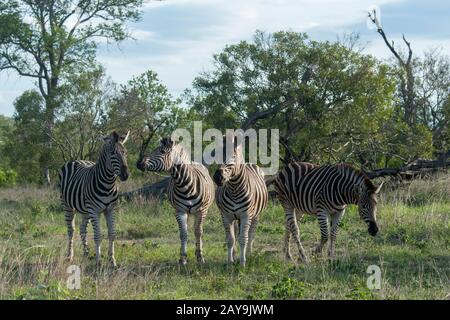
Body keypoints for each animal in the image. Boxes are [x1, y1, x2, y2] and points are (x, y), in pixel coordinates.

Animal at [58, 131, 130, 268]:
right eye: (112, 153)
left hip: (85, 210)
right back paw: (70, 256)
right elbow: (97, 236)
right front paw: (98, 261)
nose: (125, 175)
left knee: (82, 229)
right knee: (71, 230)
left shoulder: (110, 209)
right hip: (67, 206)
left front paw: (112, 260)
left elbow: (112, 234)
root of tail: (76, 160)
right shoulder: (94, 210)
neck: (108, 185)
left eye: (125, 152)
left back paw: (86, 253)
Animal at [136, 136, 215, 264]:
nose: (138, 163)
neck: (185, 185)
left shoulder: (201, 211)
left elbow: (198, 232)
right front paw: (183, 257)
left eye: (162, 151)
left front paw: (200, 257)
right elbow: (183, 233)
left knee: (198, 230)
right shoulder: (179, 211)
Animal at [214, 133, 268, 268]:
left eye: (233, 156)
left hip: (256, 215)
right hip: (235, 217)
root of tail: (249, 163)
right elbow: (230, 239)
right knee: (235, 234)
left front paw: (243, 263)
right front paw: (230, 262)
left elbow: (243, 239)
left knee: (251, 235)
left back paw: (249, 254)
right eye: (217, 155)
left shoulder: (246, 215)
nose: (217, 177)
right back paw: (234, 255)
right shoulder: (226, 216)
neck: (234, 189)